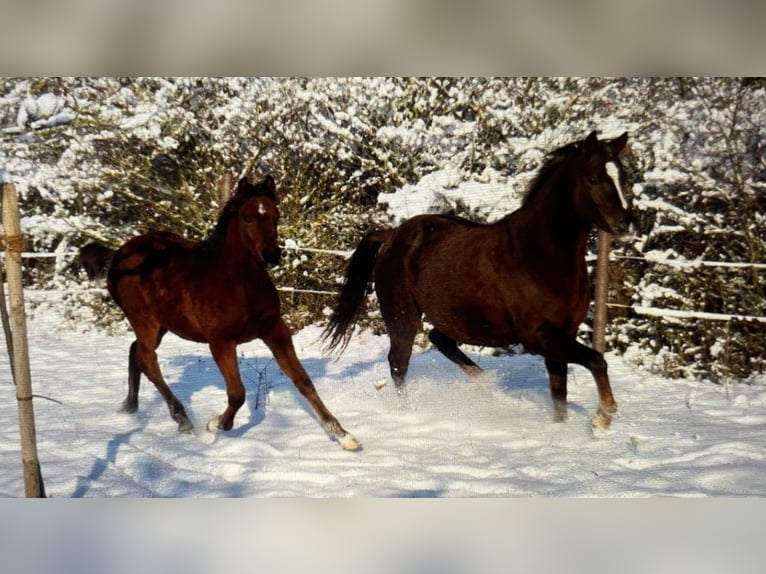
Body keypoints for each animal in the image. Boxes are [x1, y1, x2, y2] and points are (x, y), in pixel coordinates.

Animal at [106, 176, 362, 450]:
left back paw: (130, 406)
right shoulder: (220, 341)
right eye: (246, 217)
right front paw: (216, 424)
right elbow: (237, 393)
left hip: (162, 326)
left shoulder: (275, 330)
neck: (237, 284)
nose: (272, 255)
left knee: (136, 352)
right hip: (145, 321)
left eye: (276, 215)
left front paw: (344, 435)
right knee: (148, 360)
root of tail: (119, 256)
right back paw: (182, 420)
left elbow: (303, 380)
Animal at [324, 133, 632, 430]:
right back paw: (410, 414)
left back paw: (485, 383)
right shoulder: (539, 337)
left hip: (452, 317)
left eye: (623, 176)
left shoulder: (561, 336)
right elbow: (597, 360)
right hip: (403, 318)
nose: (625, 225)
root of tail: (392, 236)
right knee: (399, 364)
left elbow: (560, 396)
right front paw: (603, 416)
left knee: (438, 339)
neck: (539, 255)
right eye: (593, 178)